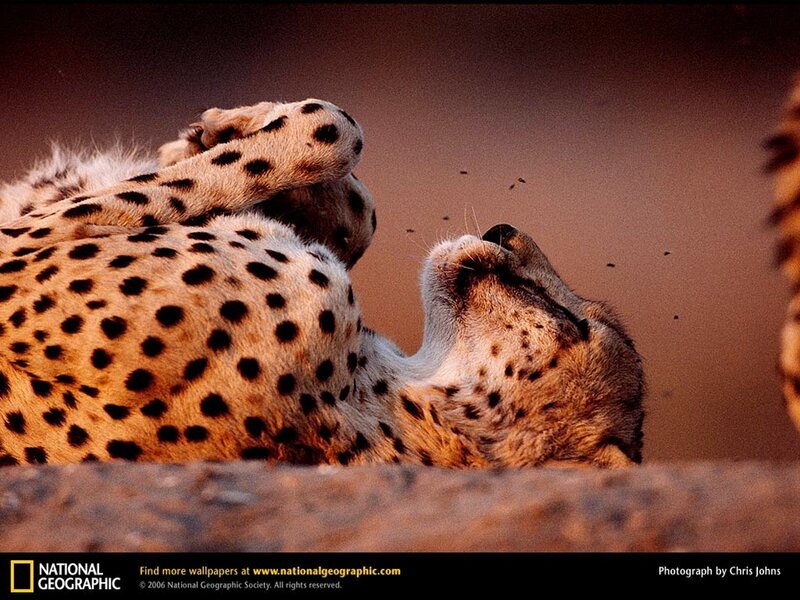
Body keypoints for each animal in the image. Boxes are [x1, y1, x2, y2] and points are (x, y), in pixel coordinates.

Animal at [0, 98, 644, 469]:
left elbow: (334, 128)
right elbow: (359, 210)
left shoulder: (18, 253)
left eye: (572, 322)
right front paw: (215, 132)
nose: (505, 230)